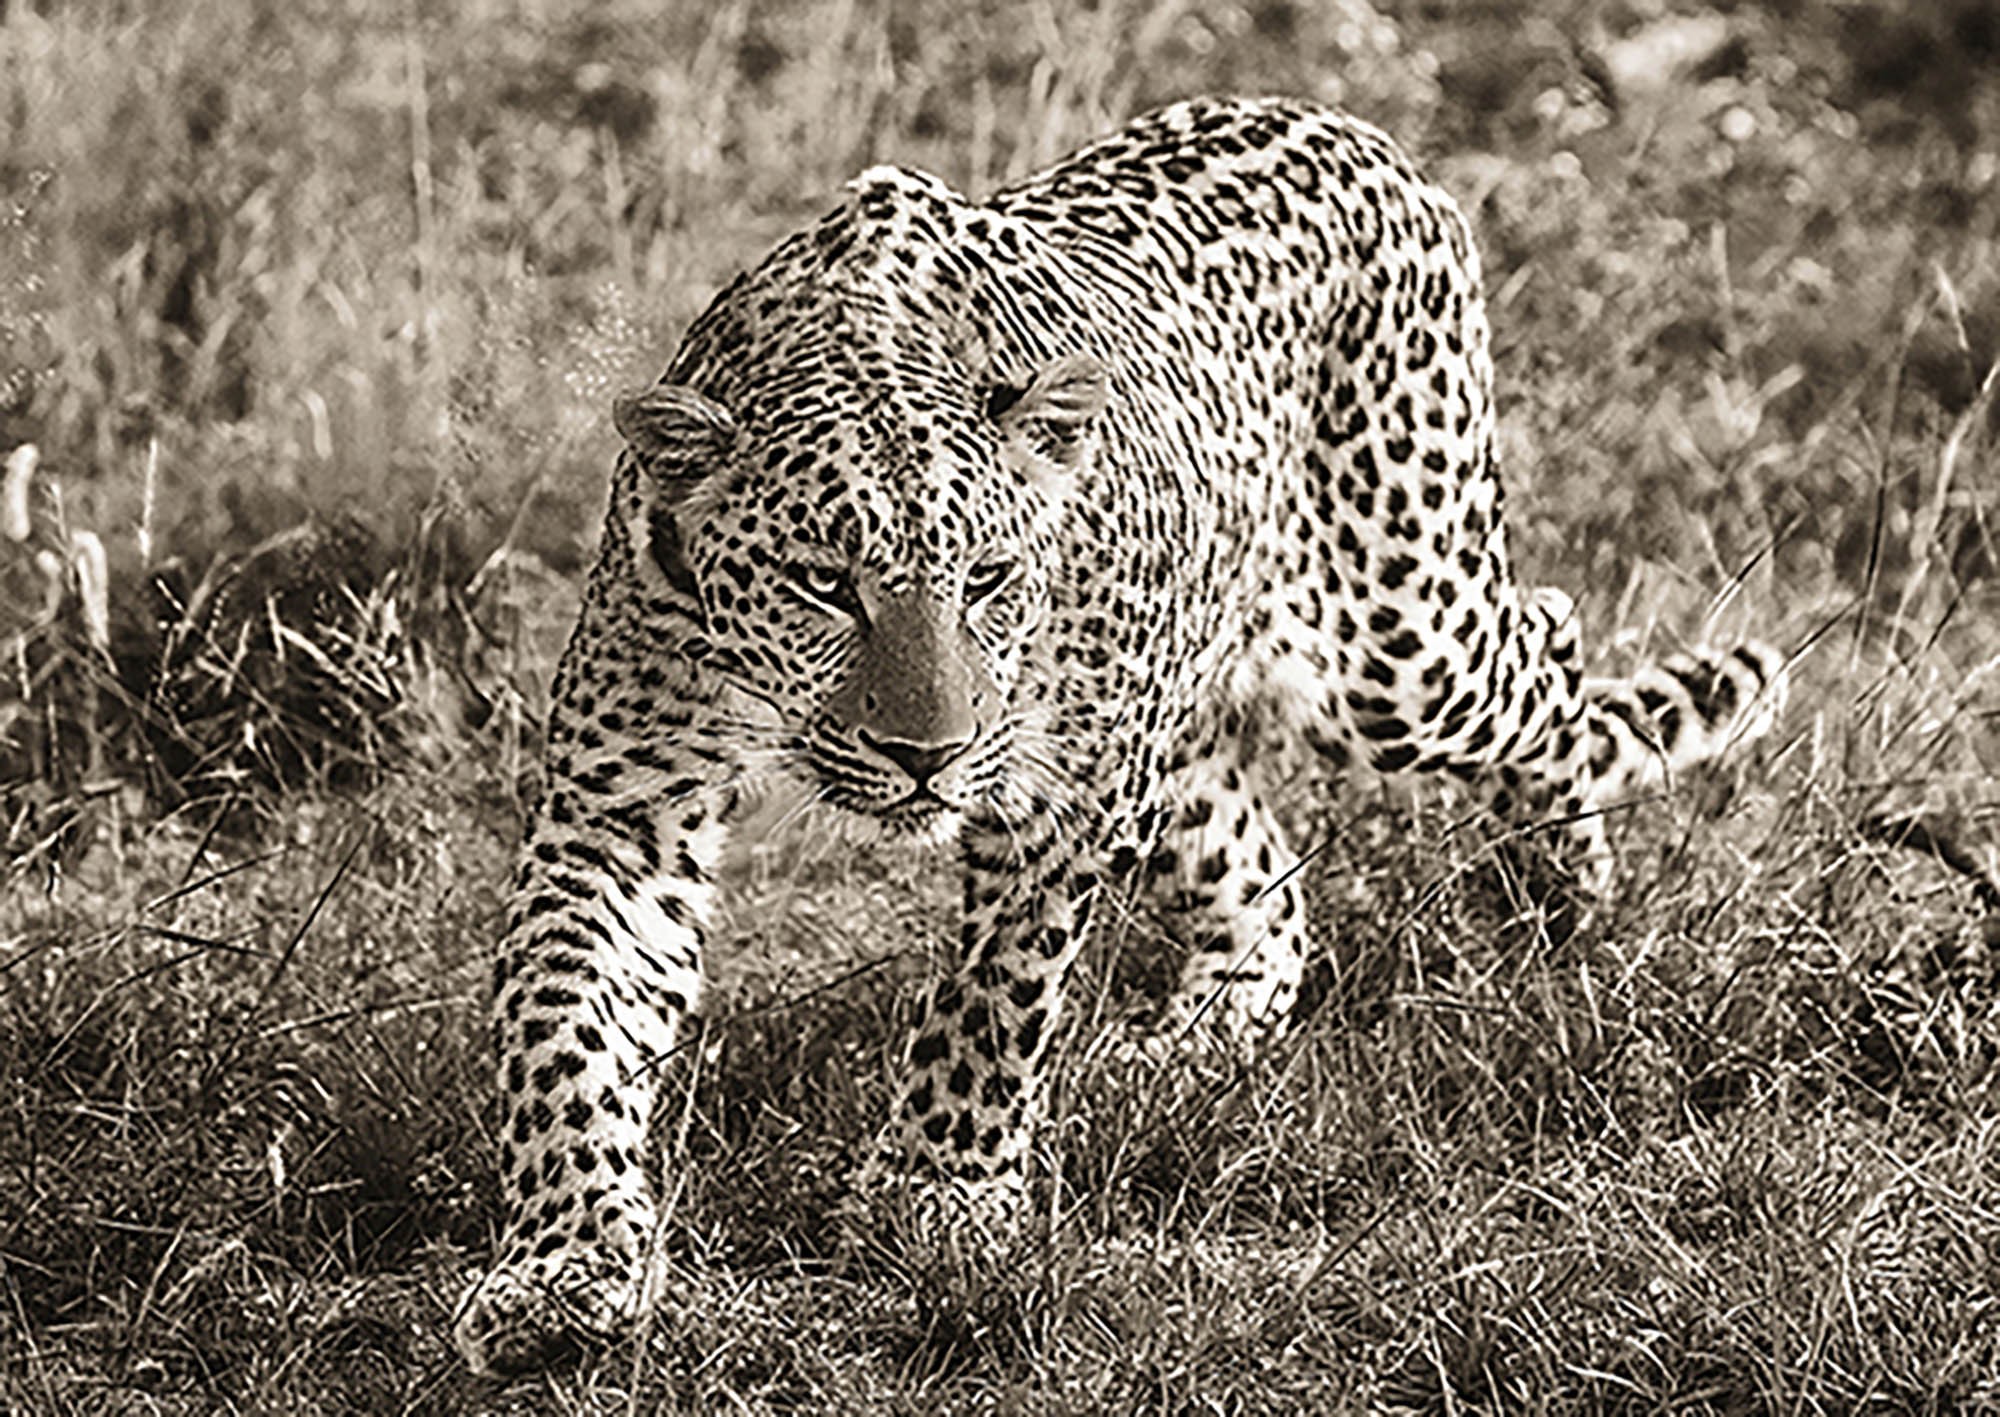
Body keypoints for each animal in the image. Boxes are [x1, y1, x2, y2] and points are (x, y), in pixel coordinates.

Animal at [452, 95, 1788, 1375]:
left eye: (989, 579)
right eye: (825, 583)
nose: (928, 755)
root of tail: (1363, 134)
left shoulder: (1060, 797)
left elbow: (991, 999)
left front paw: (936, 1191)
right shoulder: (617, 811)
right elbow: (557, 1027)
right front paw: (563, 1262)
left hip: (1394, 639)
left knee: (1548, 637)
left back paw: (1558, 886)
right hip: (1184, 718)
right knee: (1268, 884)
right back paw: (1189, 1042)